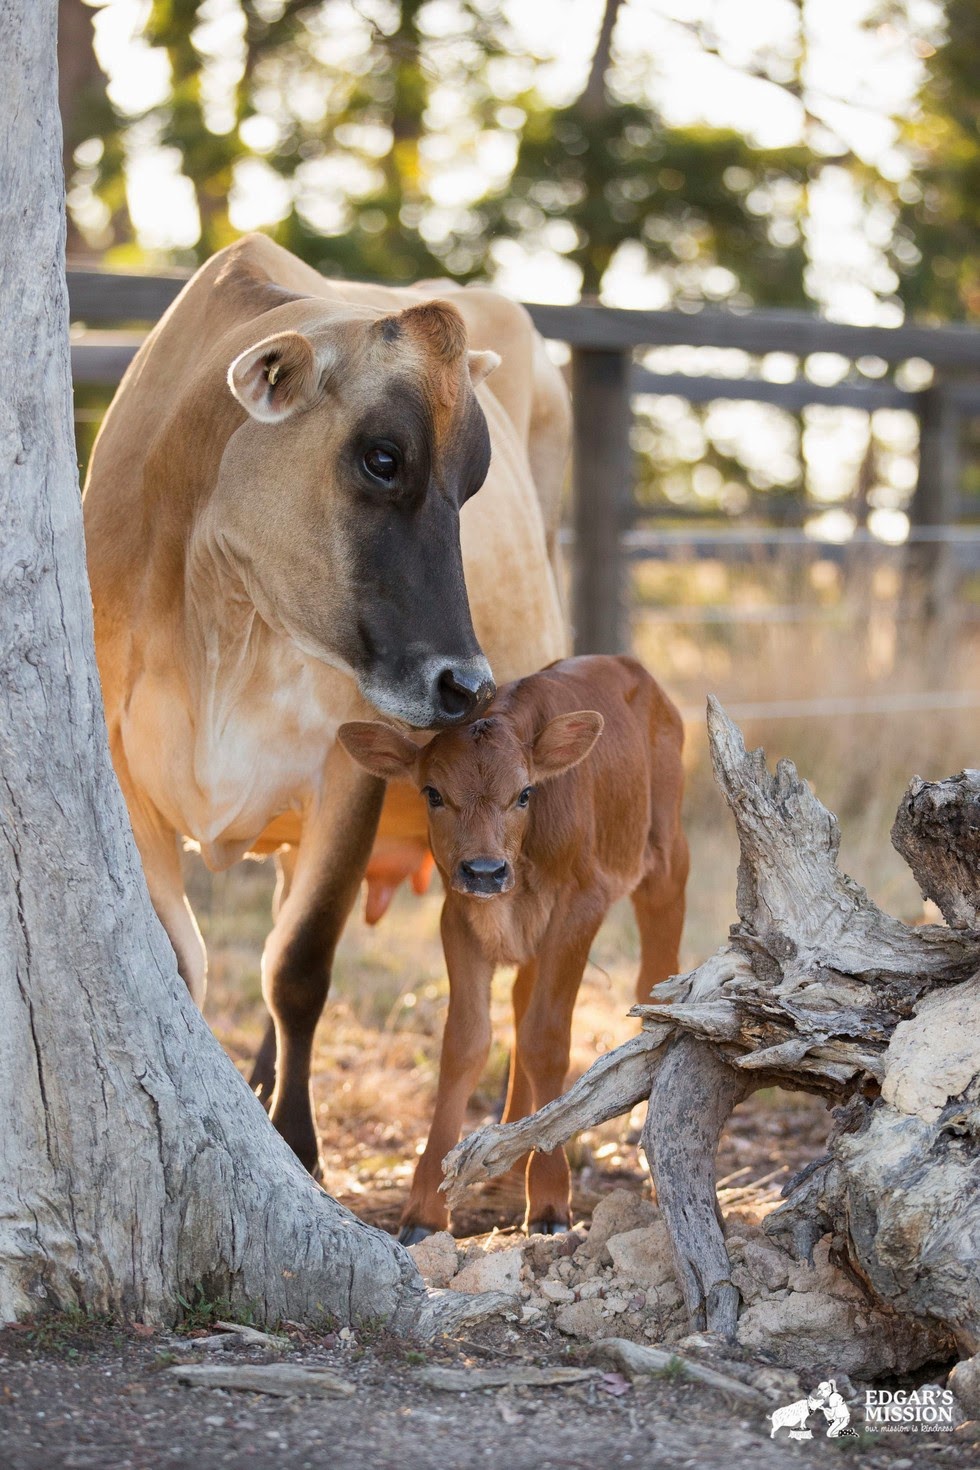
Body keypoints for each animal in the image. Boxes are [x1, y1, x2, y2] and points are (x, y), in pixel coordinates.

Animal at [82, 233, 568, 1174]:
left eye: (474, 482)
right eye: (383, 457)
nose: (467, 686)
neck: (221, 614)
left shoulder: (352, 765)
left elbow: (300, 964)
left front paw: (297, 1146)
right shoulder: (123, 773)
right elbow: (182, 960)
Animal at [339, 654, 688, 1240]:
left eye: (525, 793)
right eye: (432, 793)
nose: (484, 869)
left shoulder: (579, 907)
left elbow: (546, 1038)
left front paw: (548, 1199)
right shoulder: (458, 916)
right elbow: (465, 1042)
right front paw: (425, 1208)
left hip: (666, 861)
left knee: (654, 979)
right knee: (523, 1003)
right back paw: (510, 1153)